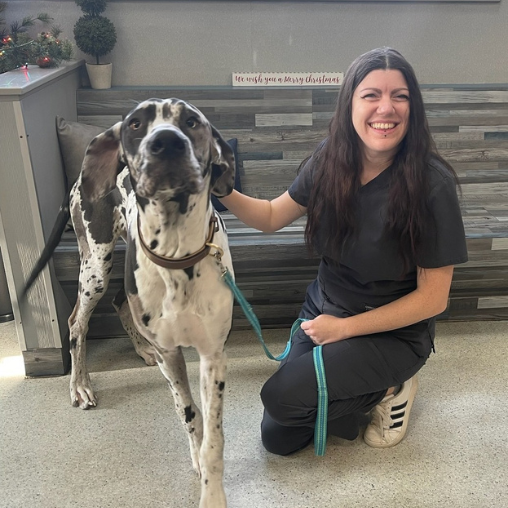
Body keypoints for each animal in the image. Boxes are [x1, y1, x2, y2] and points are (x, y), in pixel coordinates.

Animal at [23, 99, 236, 508]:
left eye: (192, 121)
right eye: (136, 123)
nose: (166, 143)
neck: (178, 255)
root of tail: (77, 179)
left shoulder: (213, 356)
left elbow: (215, 435)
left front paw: (212, 485)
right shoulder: (172, 356)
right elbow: (189, 413)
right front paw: (196, 456)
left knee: (121, 300)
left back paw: (139, 349)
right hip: (96, 267)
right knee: (76, 322)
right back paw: (80, 384)